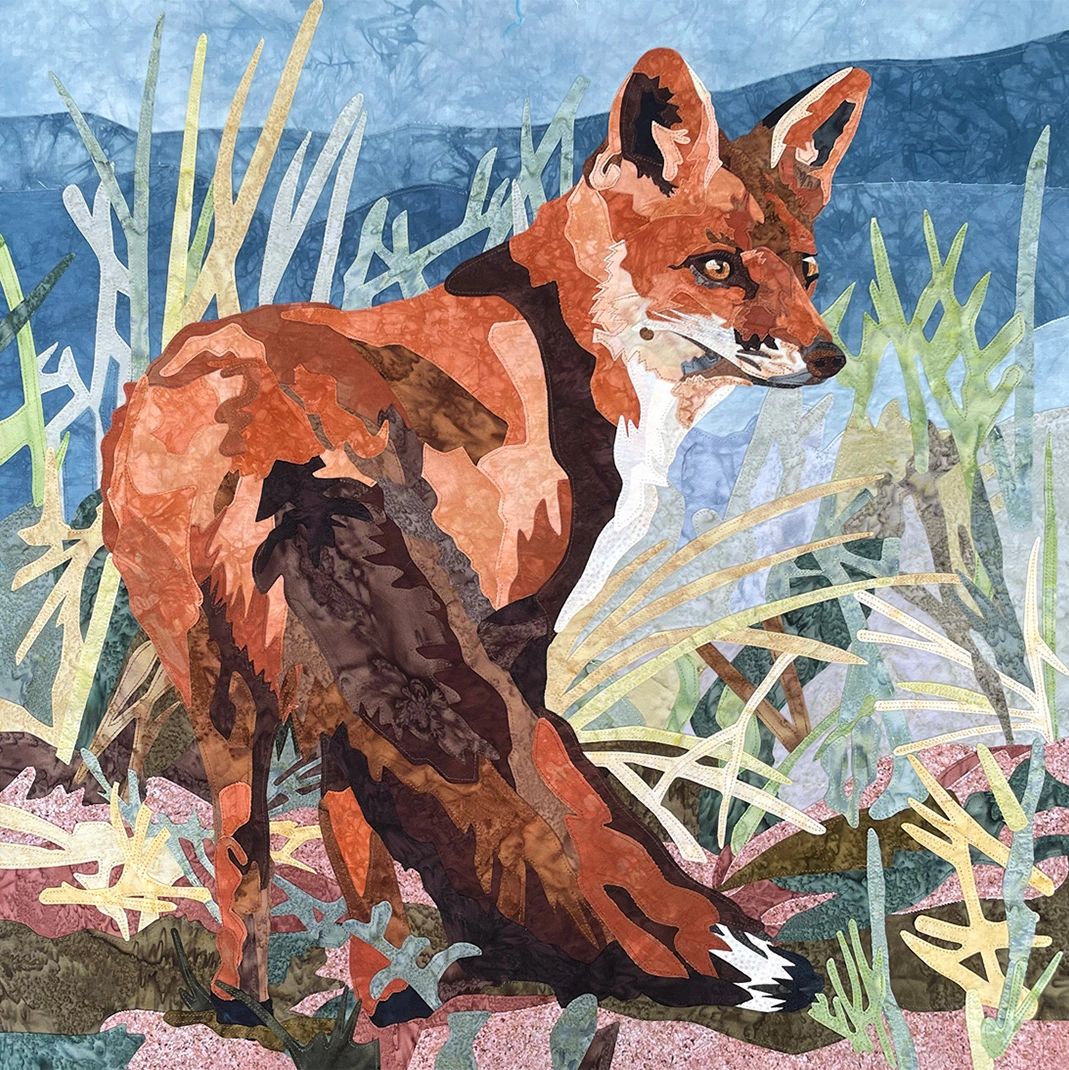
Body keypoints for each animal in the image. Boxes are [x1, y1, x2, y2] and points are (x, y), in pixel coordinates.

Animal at [101, 49, 869, 1026]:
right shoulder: (517, 622)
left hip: (213, 663)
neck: (567, 343)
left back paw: (277, 997)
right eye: (718, 266)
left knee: (251, 843)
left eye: (805, 271)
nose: (828, 357)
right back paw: (395, 991)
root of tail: (266, 394)